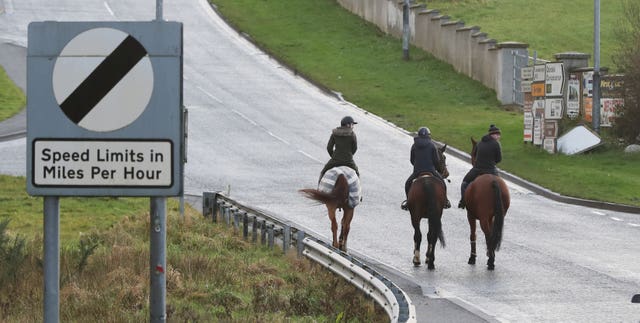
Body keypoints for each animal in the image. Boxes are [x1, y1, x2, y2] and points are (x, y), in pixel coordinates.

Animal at [464, 137, 510, 270]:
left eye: (473, 152)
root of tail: (493, 181)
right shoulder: (491, 217)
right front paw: (488, 253)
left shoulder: (470, 215)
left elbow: (473, 234)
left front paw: (472, 257)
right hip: (499, 215)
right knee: (492, 235)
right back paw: (491, 256)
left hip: (482, 217)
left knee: (488, 236)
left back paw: (491, 261)